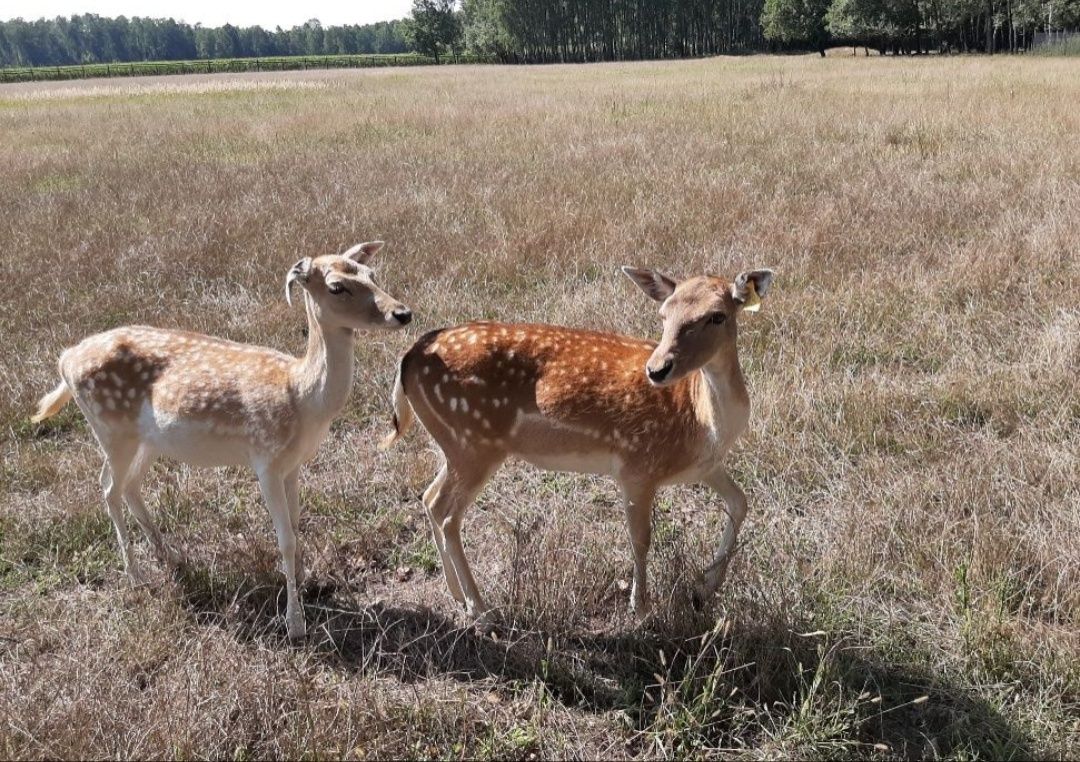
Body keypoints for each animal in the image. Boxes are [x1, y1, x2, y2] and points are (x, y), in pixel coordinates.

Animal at [31, 240, 412, 638]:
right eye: (337, 286)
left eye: (371, 273)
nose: (403, 313)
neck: (302, 399)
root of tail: (66, 359)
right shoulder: (265, 461)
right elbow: (285, 539)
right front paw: (295, 623)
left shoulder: (293, 464)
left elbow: (296, 525)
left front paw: (309, 582)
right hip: (110, 429)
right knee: (108, 487)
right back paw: (136, 576)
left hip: (147, 440)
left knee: (130, 486)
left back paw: (170, 557)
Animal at [384, 267, 773, 621]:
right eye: (664, 314)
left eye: (717, 315)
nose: (658, 369)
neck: (704, 423)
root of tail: (408, 358)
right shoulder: (637, 465)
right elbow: (641, 538)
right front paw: (642, 610)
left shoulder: (705, 466)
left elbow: (740, 503)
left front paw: (703, 589)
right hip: (474, 443)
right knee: (449, 514)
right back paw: (481, 609)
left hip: (454, 444)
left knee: (430, 498)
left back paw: (456, 595)